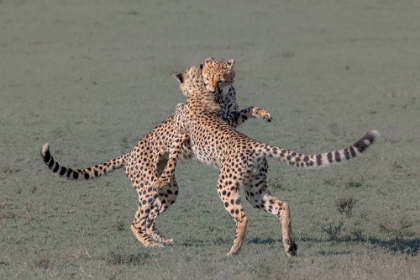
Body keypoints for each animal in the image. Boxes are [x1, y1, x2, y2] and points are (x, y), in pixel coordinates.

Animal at [40, 57, 272, 247]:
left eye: (221, 80)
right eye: (207, 79)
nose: (213, 90)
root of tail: (129, 154)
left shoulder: (230, 118)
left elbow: (247, 109)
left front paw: (264, 114)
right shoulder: (213, 122)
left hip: (169, 190)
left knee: (150, 218)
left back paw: (161, 239)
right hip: (147, 187)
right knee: (137, 221)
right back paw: (150, 243)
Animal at [156, 62, 378, 258]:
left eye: (218, 78)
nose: (213, 88)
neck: (201, 92)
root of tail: (254, 144)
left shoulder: (181, 133)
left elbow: (173, 154)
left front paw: (162, 178)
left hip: (226, 185)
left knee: (243, 217)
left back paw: (234, 250)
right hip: (255, 189)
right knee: (282, 206)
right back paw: (290, 245)